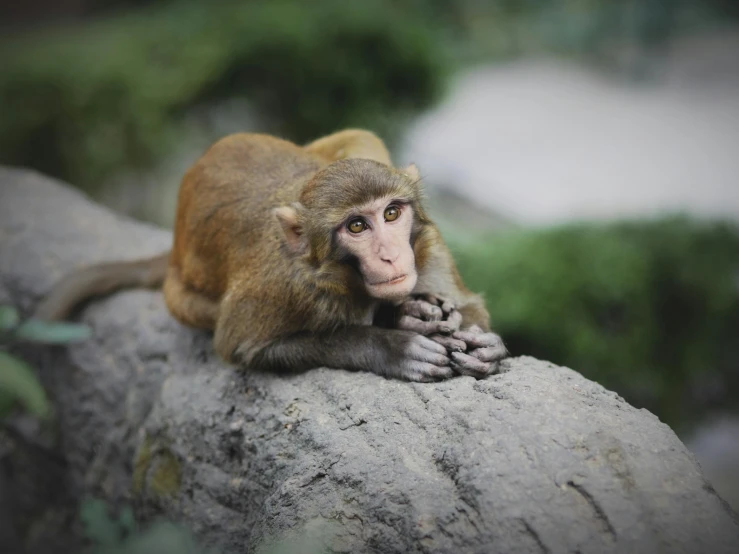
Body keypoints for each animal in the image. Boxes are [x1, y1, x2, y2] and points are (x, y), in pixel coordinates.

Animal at [36, 129, 508, 380]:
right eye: (357, 226)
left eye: (392, 213)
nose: (392, 256)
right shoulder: (284, 286)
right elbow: (241, 346)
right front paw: (392, 345)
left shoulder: (428, 247)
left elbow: (469, 305)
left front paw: (481, 342)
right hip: (182, 294)